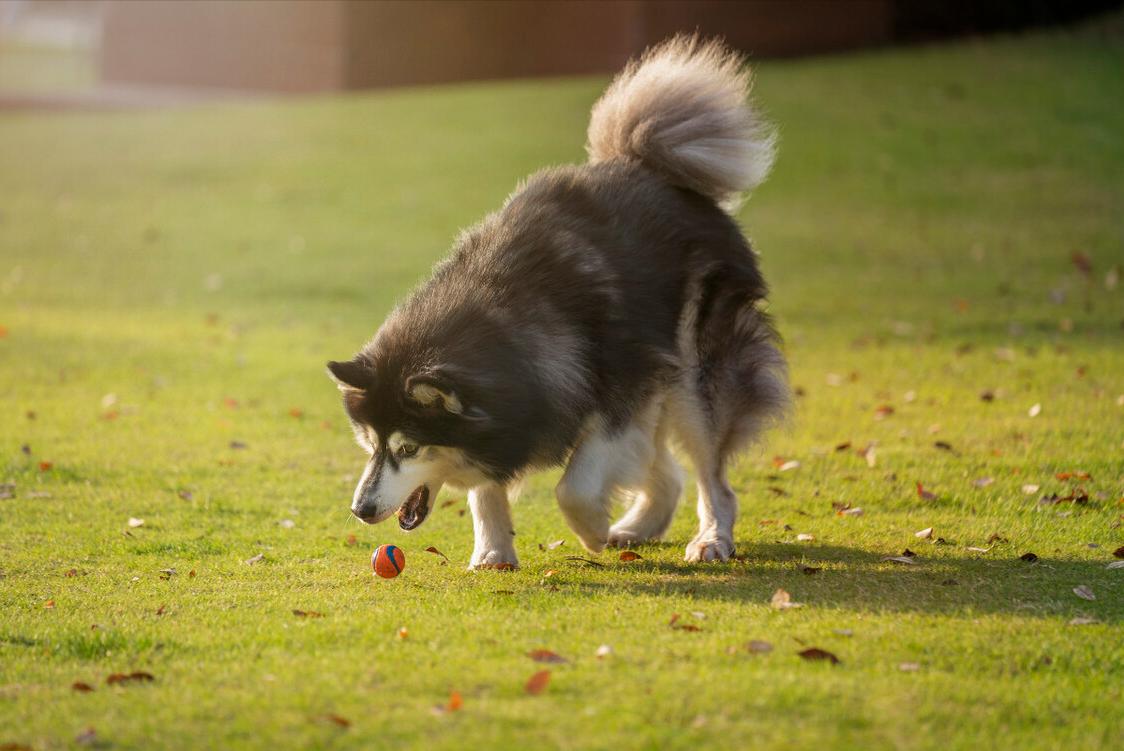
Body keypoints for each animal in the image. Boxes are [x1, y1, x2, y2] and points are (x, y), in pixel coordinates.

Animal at [328, 32, 791, 566]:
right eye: (370, 444)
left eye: (408, 448)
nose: (360, 510)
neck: (507, 326)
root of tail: (646, 166)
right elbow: (487, 487)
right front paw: (493, 552)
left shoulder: (623, 390)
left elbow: (573, 486)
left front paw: (592, 531)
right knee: (669, 473)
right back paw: (638, 528)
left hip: (693, 375)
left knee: (712, 476)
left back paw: (711, 537)